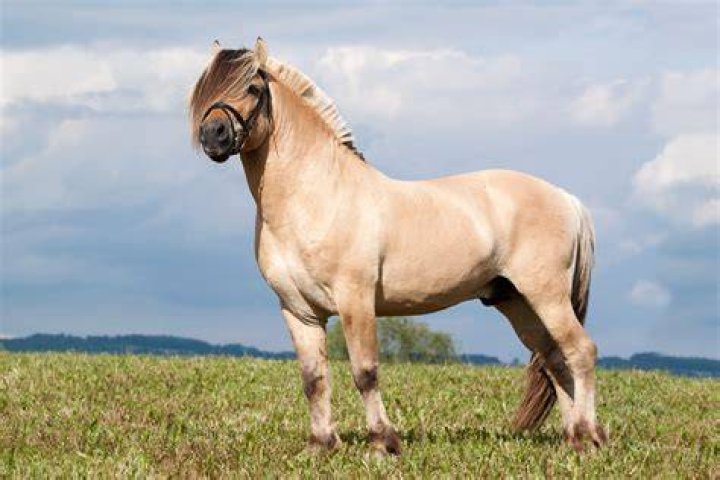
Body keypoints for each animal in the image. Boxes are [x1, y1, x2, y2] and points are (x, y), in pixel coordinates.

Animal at [189, 38, 607, 455]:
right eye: (205, 89)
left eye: (252, 87)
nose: (213, 135)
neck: (316, 196)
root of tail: (566, 198)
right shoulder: (299, 311)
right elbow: (313, 378)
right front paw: (320, 445)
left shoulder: (355, 300)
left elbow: (365, 372)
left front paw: (382, 444)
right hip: (516, 301)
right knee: (554, 359)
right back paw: (573, 437)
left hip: (546, 294)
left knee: (580, 352)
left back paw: (589, 435)